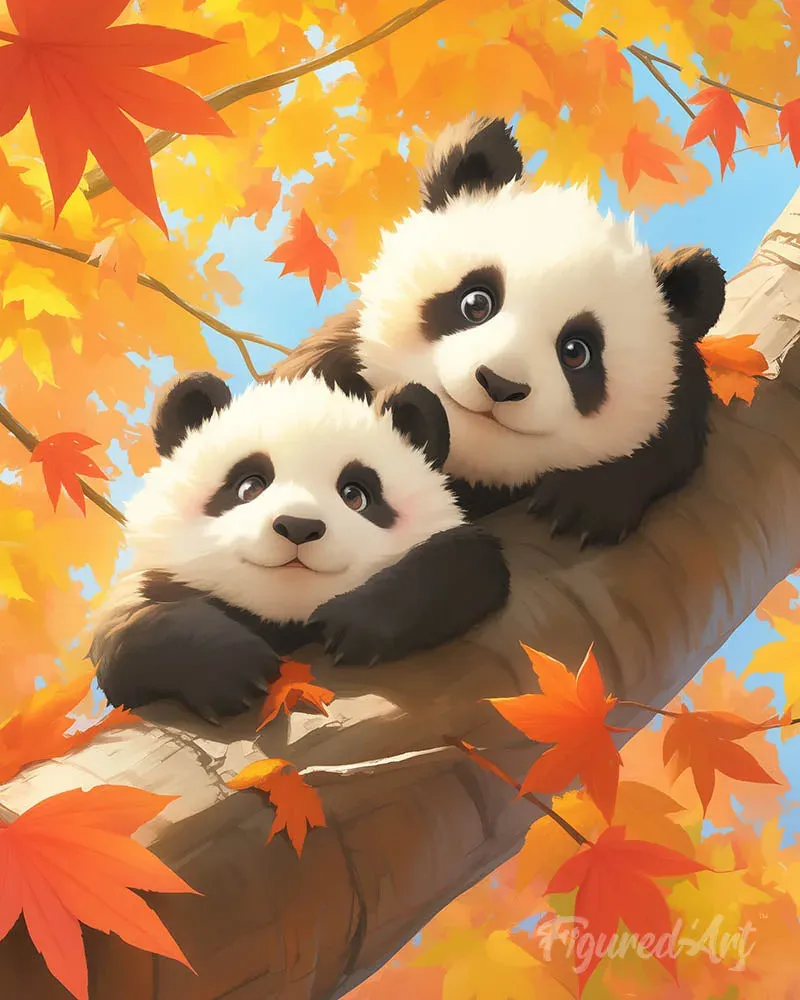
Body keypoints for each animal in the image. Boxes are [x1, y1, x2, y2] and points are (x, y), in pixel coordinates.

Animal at [89, 373, 510, 722]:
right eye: (249, 486)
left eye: (355, 495)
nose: (298, 526)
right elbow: (127, 626)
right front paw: (232, 667)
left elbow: (466, 562)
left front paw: (352, 622)